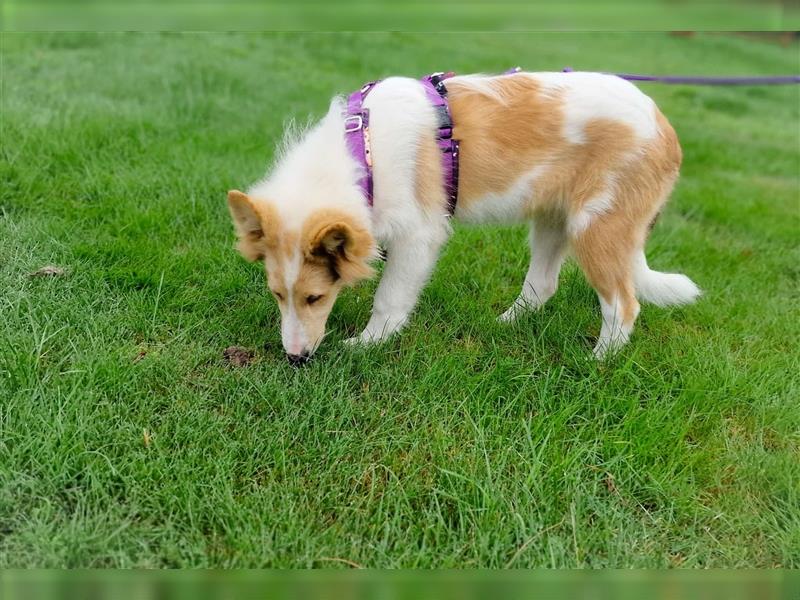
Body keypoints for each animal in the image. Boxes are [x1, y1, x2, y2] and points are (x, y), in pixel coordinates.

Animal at [227, 68, 700, 364]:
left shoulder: (419, 235)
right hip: (553, 218)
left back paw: (597, 363)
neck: (365, 152)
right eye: (277, 295)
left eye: (315, 298)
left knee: (623, 305)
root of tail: (666, 130)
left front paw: (367, 346)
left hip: (598, 226)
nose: (295, 359)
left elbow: (389, 299)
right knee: (543, 285)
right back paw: (503, 325)